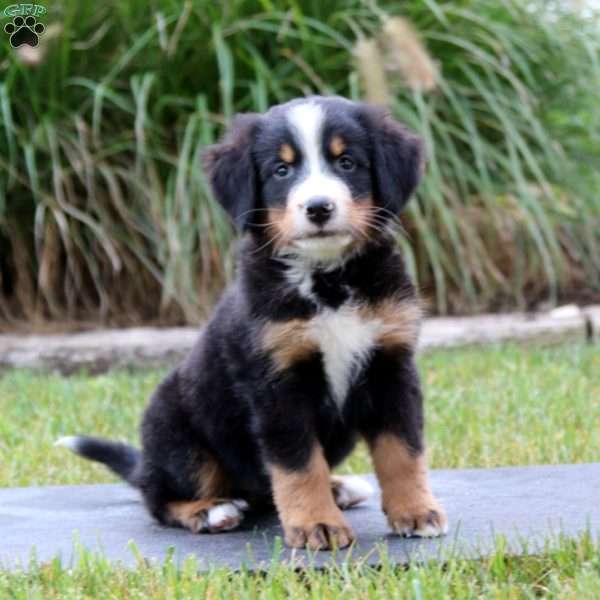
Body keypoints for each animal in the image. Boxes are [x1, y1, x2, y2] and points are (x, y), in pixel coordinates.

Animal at [56, 96, 448, 552]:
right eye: (281, 171)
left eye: (346, 162)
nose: (318, 207)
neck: (328, 282)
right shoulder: (276, 383)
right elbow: (298, 464)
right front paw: (317, 525)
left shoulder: (391, 364)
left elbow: (402, 450)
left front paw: (416, 512)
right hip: (175, 427)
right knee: (161, 498)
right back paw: (212, 511)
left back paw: (338, 487)